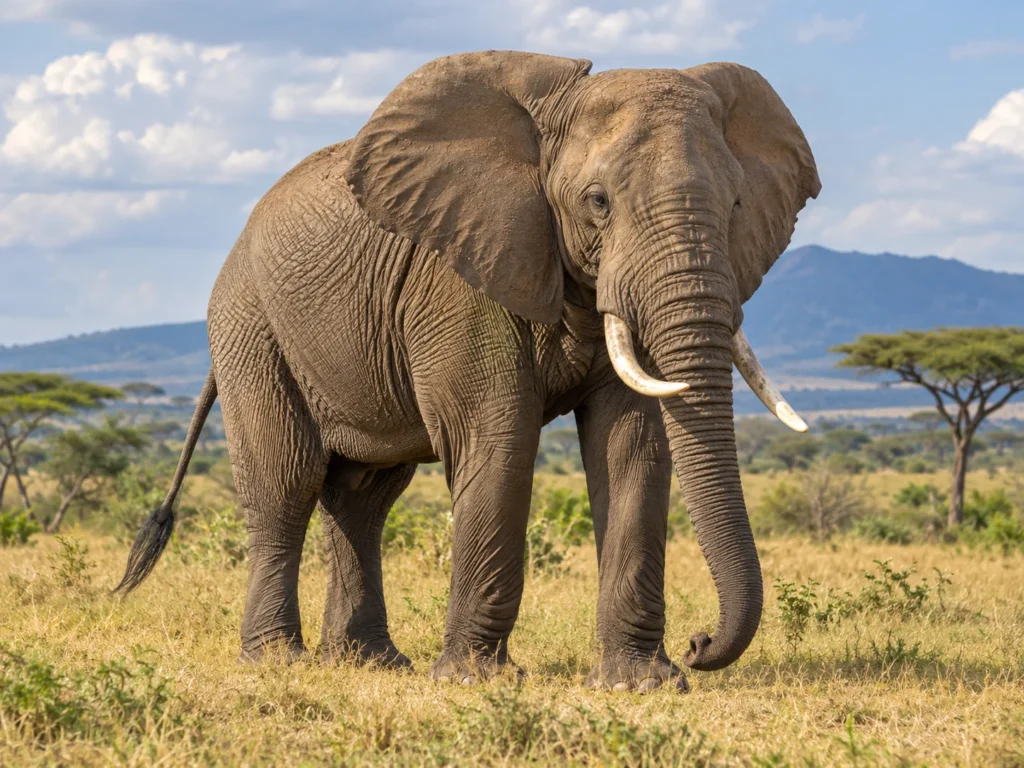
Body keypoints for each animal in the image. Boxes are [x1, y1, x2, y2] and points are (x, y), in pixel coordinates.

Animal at [117, 50, 819, 692]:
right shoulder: (460, 279)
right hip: (251, 326)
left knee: (364, 496)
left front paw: (639, 684)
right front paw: (473, 681)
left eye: (736, 203)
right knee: (284, 484)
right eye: (597, 201)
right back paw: (276, 662)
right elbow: (497, 440)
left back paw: (369, 663)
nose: (701, 643)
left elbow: (633, 447)